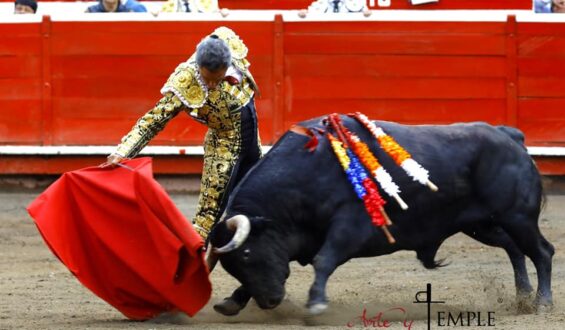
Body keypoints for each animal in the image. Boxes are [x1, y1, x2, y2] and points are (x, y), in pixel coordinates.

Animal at [204, 114, 552, 316]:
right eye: (232, 266)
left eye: (247, 255)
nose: (270, 302)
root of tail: (510, 136)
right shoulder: (301, 237)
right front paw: (232, 301)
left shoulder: (349, 227)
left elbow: (324, 260)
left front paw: (316, 302)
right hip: (483, 225)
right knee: (514, 248)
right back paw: (522, 297)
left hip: (517, 217)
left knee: (542, 251)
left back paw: (542, 302)